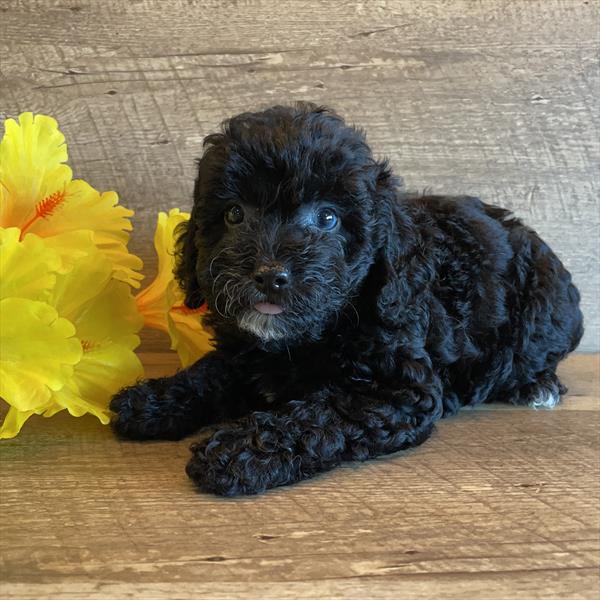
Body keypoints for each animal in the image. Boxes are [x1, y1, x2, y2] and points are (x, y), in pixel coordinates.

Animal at [110, 104, 584, 496]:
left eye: (328, 218)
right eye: (234, 214)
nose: (269, 275)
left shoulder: (398, 394)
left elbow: (316, 415)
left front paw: (237, 454)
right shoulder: (244, 354)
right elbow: (211, 372)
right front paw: (155, 400)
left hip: (543, 313)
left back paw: (537, 386)